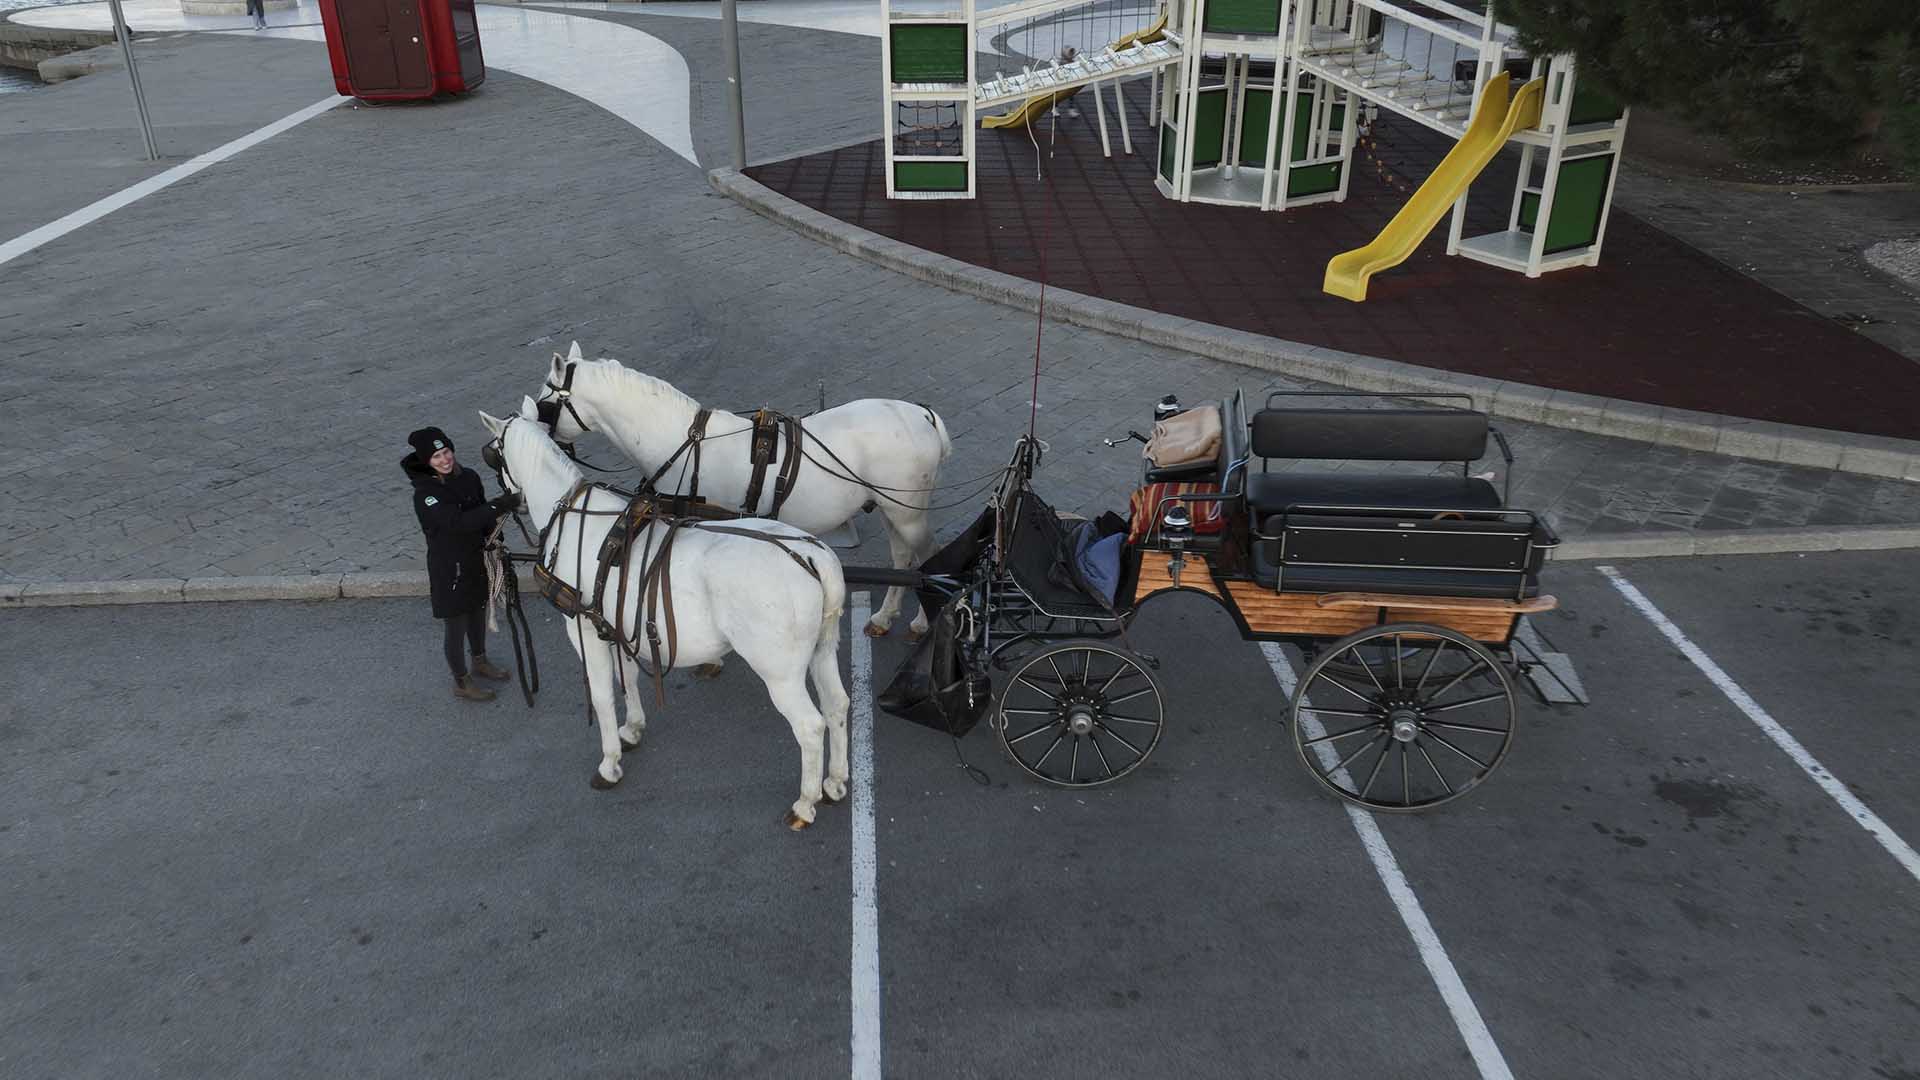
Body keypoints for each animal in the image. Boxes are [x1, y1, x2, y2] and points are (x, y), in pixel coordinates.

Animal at [478, 395, 848, 822]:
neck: (572, 518)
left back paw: (806, 802)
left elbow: (602, 696)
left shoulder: (582, 628)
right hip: (822, 649)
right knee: (837, 705)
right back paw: (835, 781)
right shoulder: (614, 623)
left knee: (810, 726)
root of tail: (811, 556)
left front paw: (609, 763)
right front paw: (633, 729)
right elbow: (626, 679)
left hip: (779, 672)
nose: (502, 501)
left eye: (493, 455)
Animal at [533, 340, 952, 634]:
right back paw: (885, 615)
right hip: (889, 506)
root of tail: (923, 415)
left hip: (908, 511)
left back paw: (924, 621)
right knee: (903, 556)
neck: (682, 443)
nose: (543, 434)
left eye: (545, 403)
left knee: (929, 554)